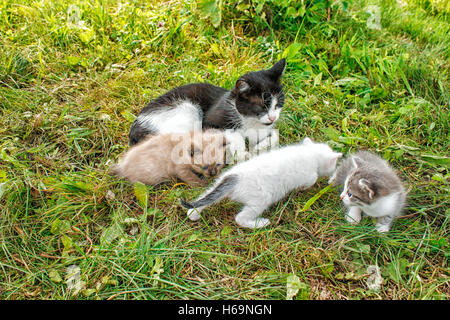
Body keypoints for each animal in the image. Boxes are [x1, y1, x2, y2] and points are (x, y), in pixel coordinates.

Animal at [128, 58, 286, 145]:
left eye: (279, 103)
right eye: (261, 106)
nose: (273, 117)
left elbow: (275, 136)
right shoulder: (210, 122)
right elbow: (232, 134)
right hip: (187, 109)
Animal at [179, 139, 342, 229]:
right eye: (334, 164)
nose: (335, 168)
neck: (310, 154)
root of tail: (234, 178)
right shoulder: (309, 174)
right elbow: (312, 179)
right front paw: (304, 188)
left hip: (218, 182)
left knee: (205, 197)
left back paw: (194, 213)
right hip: (261, 199)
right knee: (240, 218)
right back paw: (260, 224)